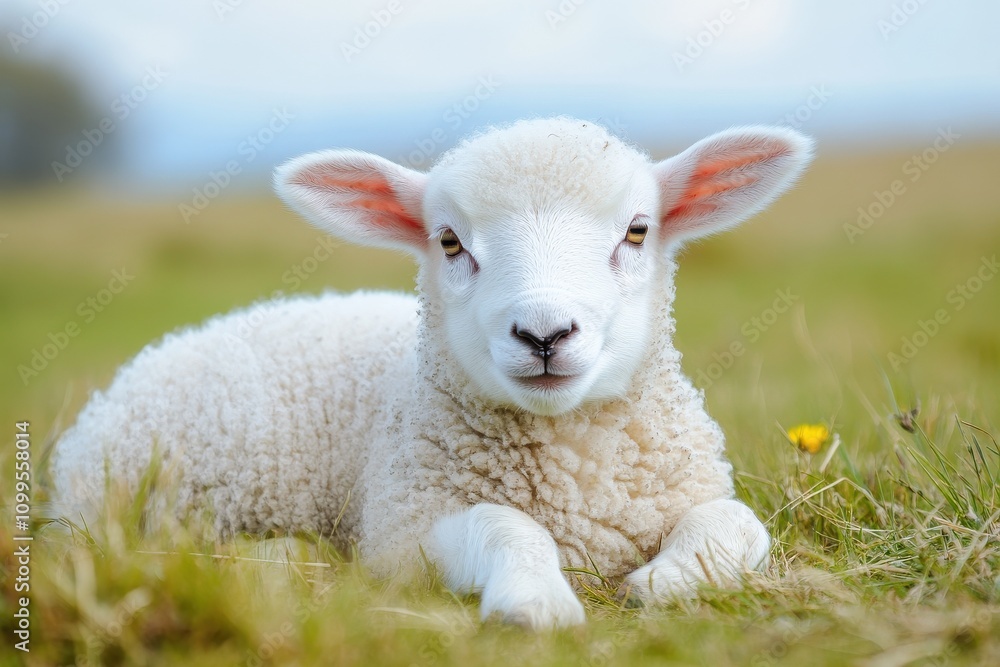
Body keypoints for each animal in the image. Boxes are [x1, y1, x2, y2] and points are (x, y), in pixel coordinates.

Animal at [51, 116, 813, 630]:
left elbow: (737, 522)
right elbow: (505, 527)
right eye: (449, 241)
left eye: (636, 231)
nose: (544, 333)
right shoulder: (407, 530)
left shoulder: (691, 490)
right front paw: (534, 600)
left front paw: (669, 580)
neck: (577, 479)